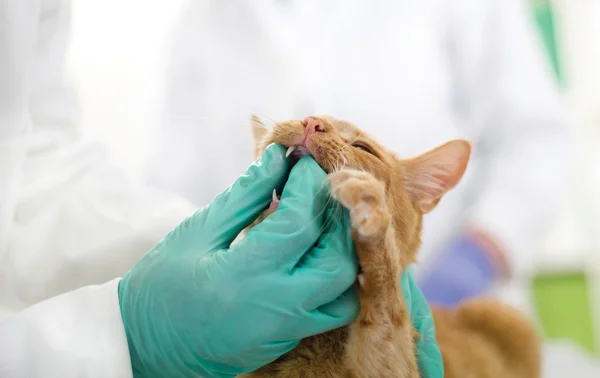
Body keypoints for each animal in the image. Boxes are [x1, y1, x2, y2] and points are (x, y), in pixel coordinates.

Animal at [237, 113, 540, 376]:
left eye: (362, 147)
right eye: (304, 117)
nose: (312, 122)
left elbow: (388, 323)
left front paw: (370, 208)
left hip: (502, 314)